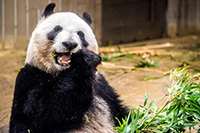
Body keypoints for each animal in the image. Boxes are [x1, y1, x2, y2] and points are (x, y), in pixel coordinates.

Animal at [9, 3, 128, 133]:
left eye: (81, 34)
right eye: (57, 29)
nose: (70, 44)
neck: (62, 72)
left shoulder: (101, 86)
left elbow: (121, 113)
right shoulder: (29, 78)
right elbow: (44, 112)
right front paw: (84, 59)